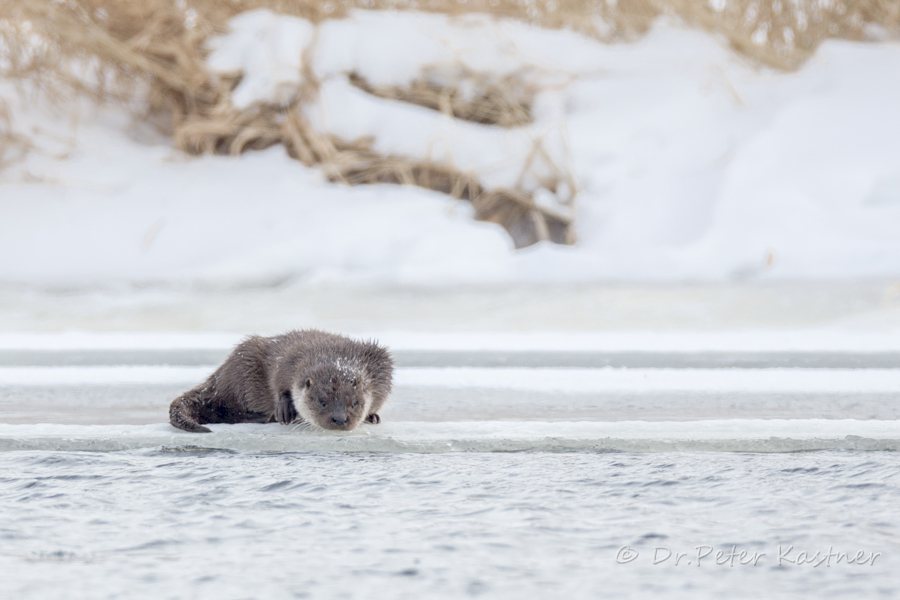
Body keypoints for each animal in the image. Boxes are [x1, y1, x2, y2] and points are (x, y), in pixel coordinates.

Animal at [170, 330, 394, 434]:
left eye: (354, 403)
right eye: (322, 402)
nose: (340, 419)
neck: (336, 356)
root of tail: (218, 378)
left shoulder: (380, 362)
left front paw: (371, 415)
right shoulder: (287, 360)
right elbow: (279, 384)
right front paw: (285, 408)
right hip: (244, 366)